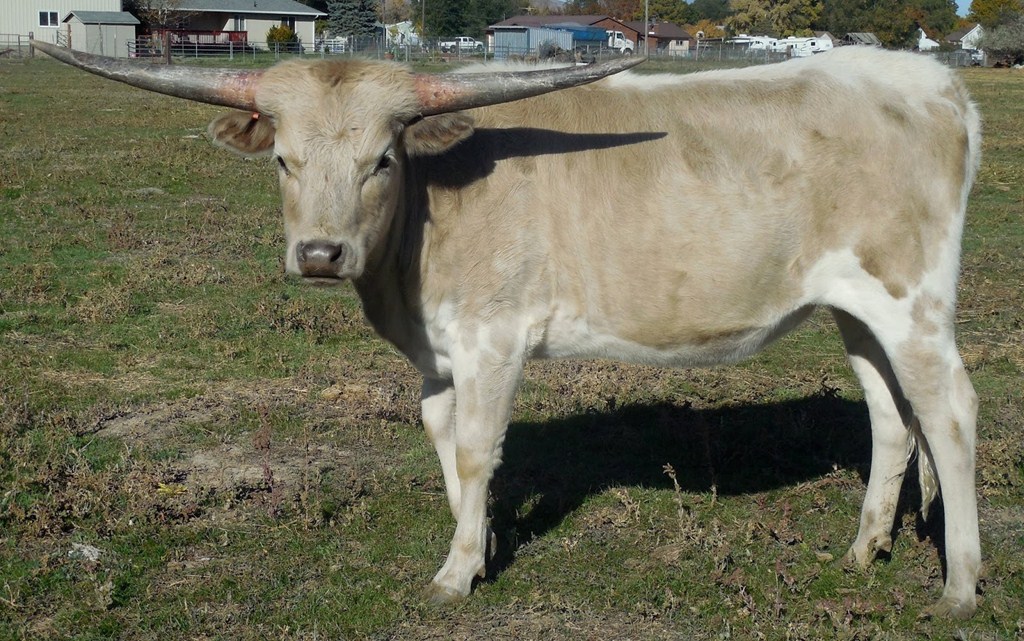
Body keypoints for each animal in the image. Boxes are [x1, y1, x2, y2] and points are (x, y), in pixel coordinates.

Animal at [33, 40, 982, 618]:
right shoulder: (438, 359)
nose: (320, 252)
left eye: (383, 158)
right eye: (281, 159)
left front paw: (457, 571)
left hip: (913, 303)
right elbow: (444, 442)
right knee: (892, 418)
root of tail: (928, 81)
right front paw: (482, 544)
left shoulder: (494, 337)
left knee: (950, 414)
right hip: (855, 309)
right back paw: (863, 550)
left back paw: (962, 582)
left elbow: (478, 448)